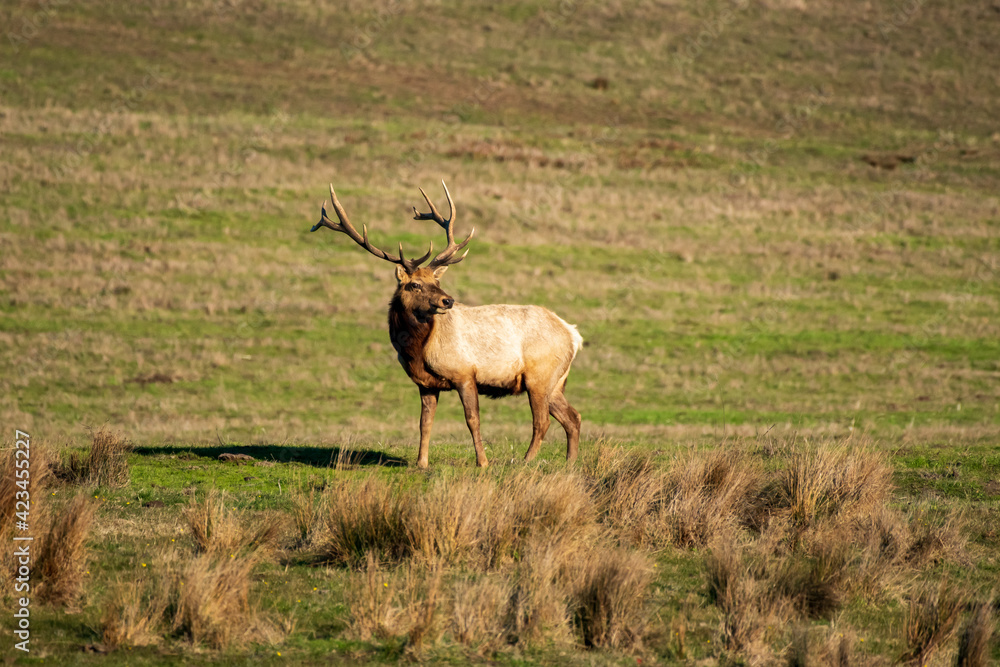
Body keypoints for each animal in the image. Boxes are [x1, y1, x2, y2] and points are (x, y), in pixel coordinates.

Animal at [310, 182, 582, 469]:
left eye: (436, 281)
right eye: (414, 284)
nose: (448, 300)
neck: (417, 351)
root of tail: (573, 335)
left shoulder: (464, 372)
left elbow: (472, 420)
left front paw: (483, 463)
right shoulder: (426, 383)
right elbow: (424, 423)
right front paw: (421, 463)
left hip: (539, 376)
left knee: (542, 422)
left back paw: (524, 461)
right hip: (556, 381)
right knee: (572, 417)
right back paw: (570, 463)